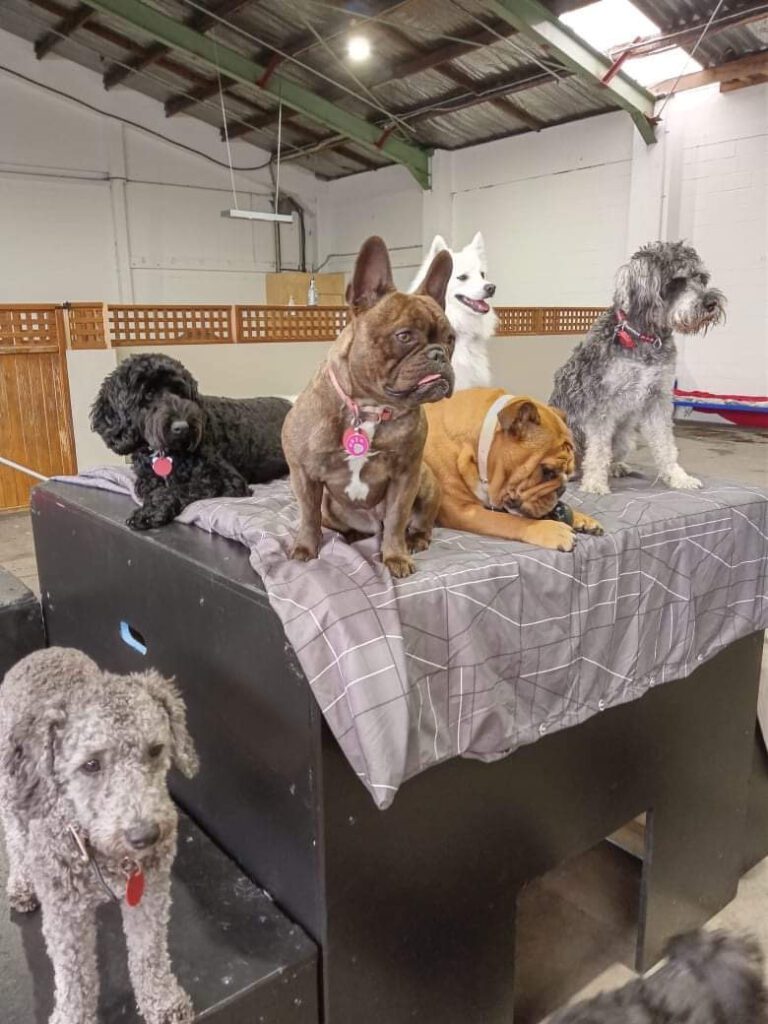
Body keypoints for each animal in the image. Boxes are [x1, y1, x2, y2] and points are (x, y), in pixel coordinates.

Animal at [0, 651, 198, 1019]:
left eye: (155, 749)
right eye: (91, 765)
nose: (144, 835)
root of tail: (39, 653)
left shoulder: (150, 893)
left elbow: (149, 953)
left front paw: (162, 1000)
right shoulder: (65, 915)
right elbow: (75, 978)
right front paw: (73, 1016)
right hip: (11, 792)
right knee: (16, 840)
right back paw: (21, 882)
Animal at [91, 350, 290, 528]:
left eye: (180, 391)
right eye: (148, 394)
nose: (182, 427)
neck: (165, 453)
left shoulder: (225, 479)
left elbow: (177, 488)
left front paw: (149, 511)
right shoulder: (145, 481)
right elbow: (153, 487)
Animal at [548, 240, 724, 495]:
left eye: (701, 278)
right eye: (676, 281)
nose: (711, 303)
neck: (644, 338)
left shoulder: (657, 399)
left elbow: (666, 444)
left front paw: (678, 477)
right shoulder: (601, 403)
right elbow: (598, 449)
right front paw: (595, 484)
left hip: (624, 438)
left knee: (612, 455)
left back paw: (617, 467)